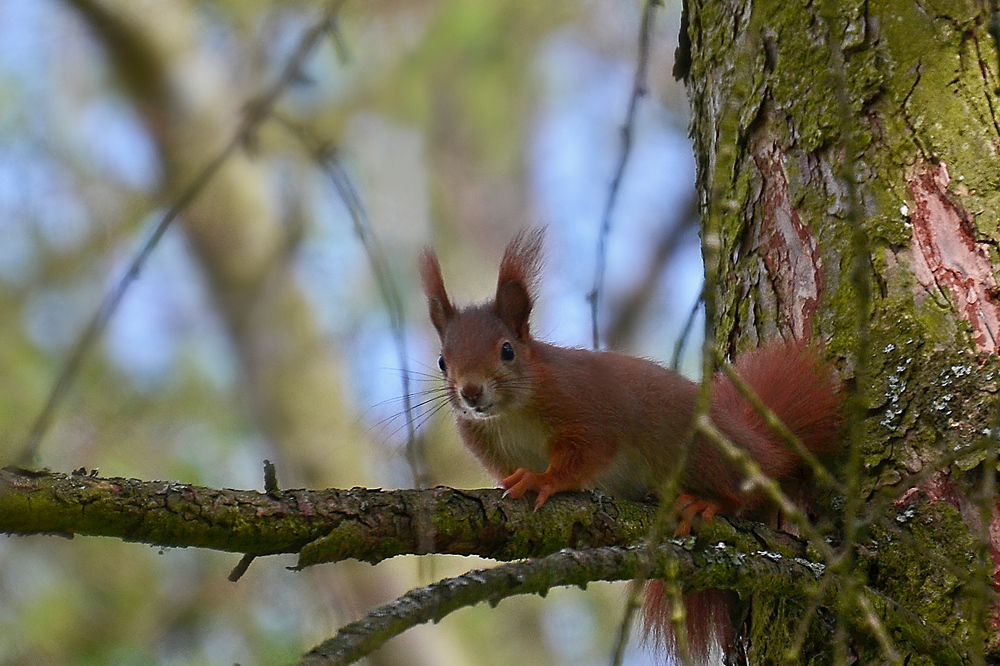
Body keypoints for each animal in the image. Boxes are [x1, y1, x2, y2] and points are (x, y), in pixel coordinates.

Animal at [418, 227, 840, 660]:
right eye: (442, 361)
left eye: (507, 350)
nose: (470, 392)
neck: (509, 414)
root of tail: (759, 447)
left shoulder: (586, 412)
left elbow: (584, 456)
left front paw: (543, 479)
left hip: (700, 453)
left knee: (742, 491)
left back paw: (707, 502)